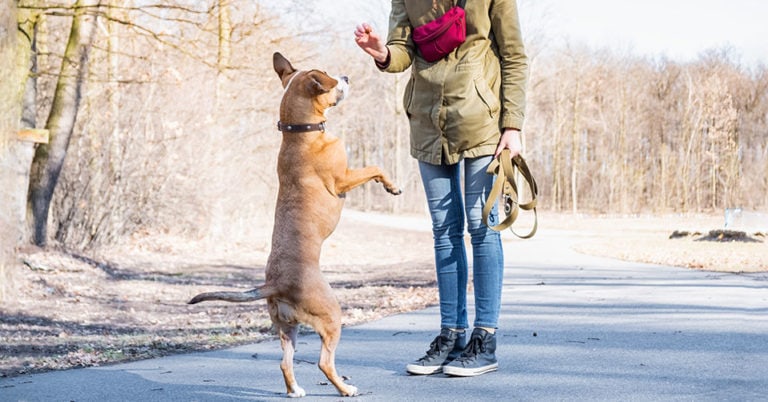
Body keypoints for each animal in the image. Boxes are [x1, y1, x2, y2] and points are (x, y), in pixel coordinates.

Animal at [188, 51, 402, 398]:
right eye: (331, 78)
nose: (346, 76)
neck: (300, 131)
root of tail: (276, 284)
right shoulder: (343, 179)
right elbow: (375, 167)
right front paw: (392, 187)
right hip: (331, 317)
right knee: (324, 363)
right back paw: (345, 389)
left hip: (288, 327)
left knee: (285, 362)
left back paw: (295, 390)